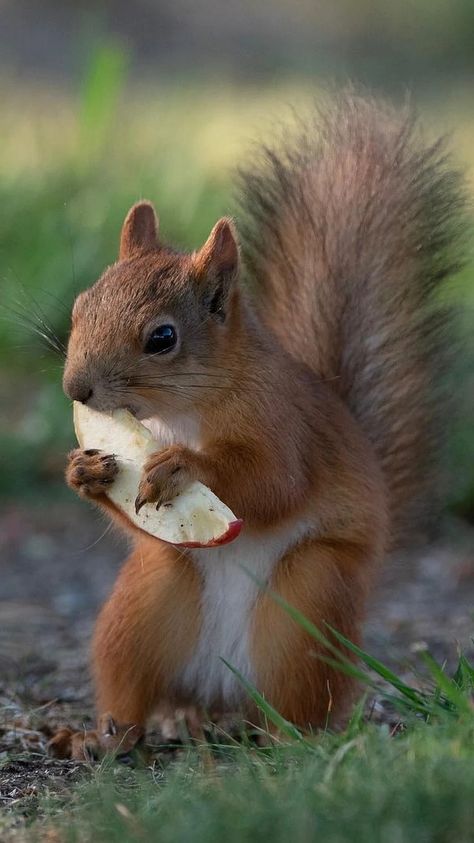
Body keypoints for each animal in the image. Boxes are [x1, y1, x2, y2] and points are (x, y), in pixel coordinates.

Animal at [51, 94, 462, 764]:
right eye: (81, 307)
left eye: (162, 338)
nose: (76, 390)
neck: (180, 411)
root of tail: (226, 691)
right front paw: (84, 470)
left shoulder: (281, 421)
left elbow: (272, 481)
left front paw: (185, 466)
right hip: (145, 603)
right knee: (134, 691)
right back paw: (113, 734)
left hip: (308, 603)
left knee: (298, 700)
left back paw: (285, 739)